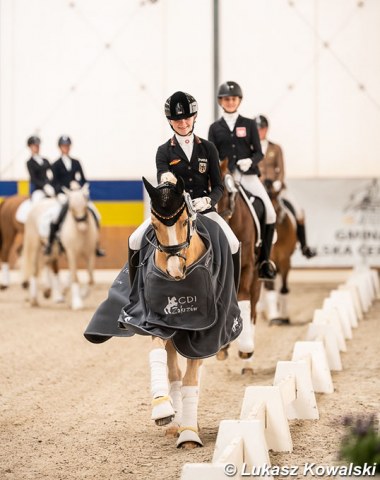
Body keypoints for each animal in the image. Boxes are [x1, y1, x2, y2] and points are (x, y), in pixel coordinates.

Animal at [21, 184, 98, 312]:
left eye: (86, 203)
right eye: (71, 207)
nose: (82, 226)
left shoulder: (90, 253)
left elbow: (91, 278)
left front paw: (81, 295)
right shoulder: (71, 253)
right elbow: (75, 277)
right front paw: (77, 303)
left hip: (53, 250)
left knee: (51, 265)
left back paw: (52, 294)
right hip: (34, 245)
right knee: (34, 270)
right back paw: (35, 299)